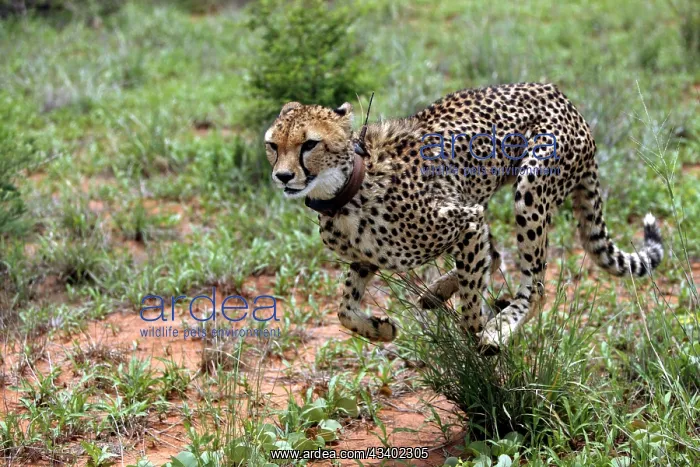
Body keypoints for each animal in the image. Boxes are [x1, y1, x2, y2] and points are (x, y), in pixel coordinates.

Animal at [263, 83, 664, 352]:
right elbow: (344, 308)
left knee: (535, 285)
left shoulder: (467, 220)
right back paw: (438, 292)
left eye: (309, 144)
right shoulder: (368, 258)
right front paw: (380, 329)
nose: (282, 176)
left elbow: (472, 302)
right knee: (497, 255)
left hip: (531, 187)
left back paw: (499, 324)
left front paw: (484, 328)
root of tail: (561, 96)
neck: (344, 194)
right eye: (272, 145)